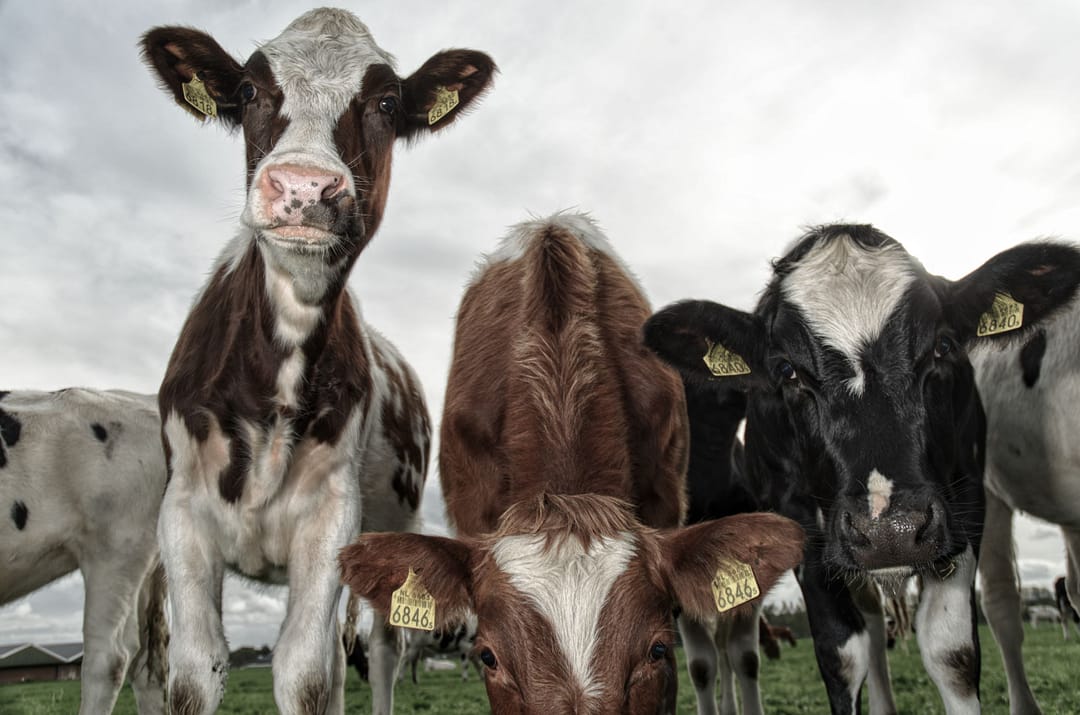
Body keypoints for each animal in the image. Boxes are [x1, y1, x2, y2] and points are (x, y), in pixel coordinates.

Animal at [139, 9, 495, 713]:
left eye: (386, 103)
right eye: (249, 90)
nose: (304, 186)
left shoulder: (332, 517)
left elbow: (304, 672)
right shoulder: (182, 512)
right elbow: (194, 672)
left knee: (379, 651)